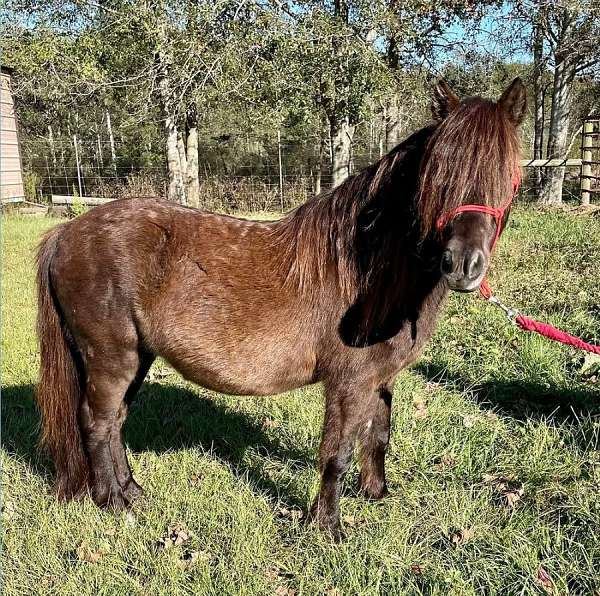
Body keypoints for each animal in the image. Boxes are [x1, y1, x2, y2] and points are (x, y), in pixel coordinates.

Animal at [36, 77, 524, 536]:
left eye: (507, 174)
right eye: (439, 174)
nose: (463, 265)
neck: (369, 273)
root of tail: (66, 233)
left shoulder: (381, 379)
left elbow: (378, 437)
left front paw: (377, 495)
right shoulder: (349, 384)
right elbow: (337, 453)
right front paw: (328, 528)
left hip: (139, 357)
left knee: (116, 420)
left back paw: (132, 490)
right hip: (110, 358)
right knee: (97, 421)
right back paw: (111, 502)